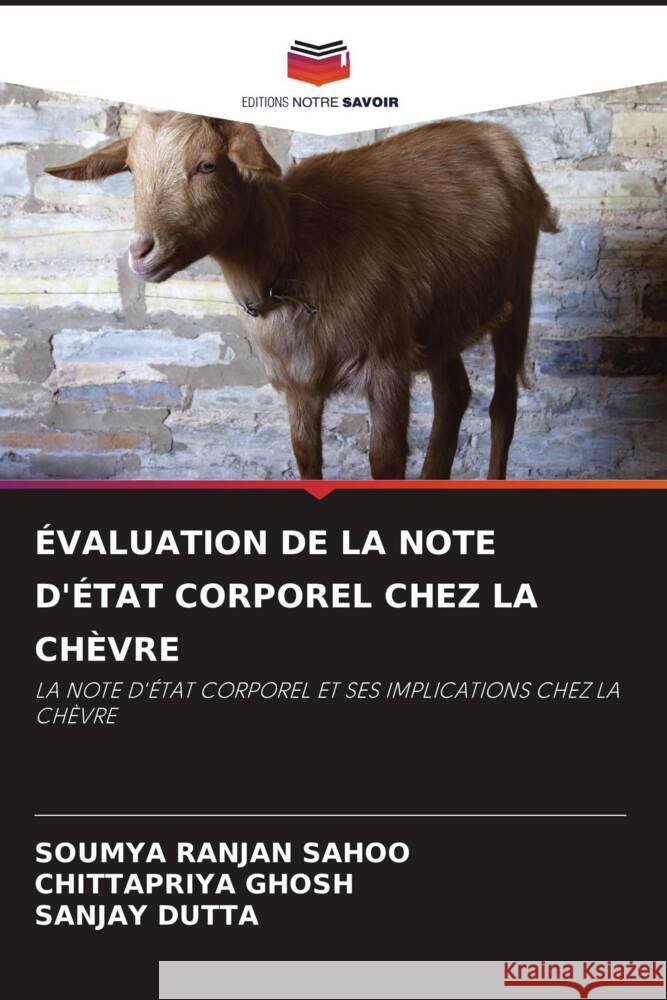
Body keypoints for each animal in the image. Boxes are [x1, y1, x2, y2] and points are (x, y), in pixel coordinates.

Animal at [45, 112, 558, 479]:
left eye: (207, 164)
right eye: (132, 169)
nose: (141, 252)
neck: (296, 252)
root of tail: (496, 137)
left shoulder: (386, 366)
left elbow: (385, 462)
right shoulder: (297, 384)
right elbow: (306, 459)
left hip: (517, 294)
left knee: (502, 406)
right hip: (440, 322)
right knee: (453, 394)